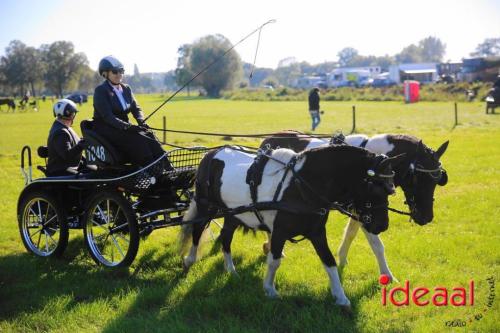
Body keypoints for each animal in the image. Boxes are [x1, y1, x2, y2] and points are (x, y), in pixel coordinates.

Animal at [178, 144, 404, 308]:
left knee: (226, 236)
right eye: (376, 188)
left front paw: (340, 297)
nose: (382, 225)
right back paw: (189, 259)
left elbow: (329, 261)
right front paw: (269, 289)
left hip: (233, 214)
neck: (301, 185)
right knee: (197, 231)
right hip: (205, 206)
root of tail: (210, 153)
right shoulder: (279, 231)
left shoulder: (317, 232)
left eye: (391, 188)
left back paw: (231, 269)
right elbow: (274, 261)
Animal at [260, 130, 448, 280]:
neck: (370, 166)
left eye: (437, 179)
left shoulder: (362, 209)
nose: (426, 217)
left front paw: (342, 258)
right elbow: (377, 245)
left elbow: (351, 233)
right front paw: (388, 275)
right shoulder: (366, 211)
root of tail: (268, 141)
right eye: (417, 178)